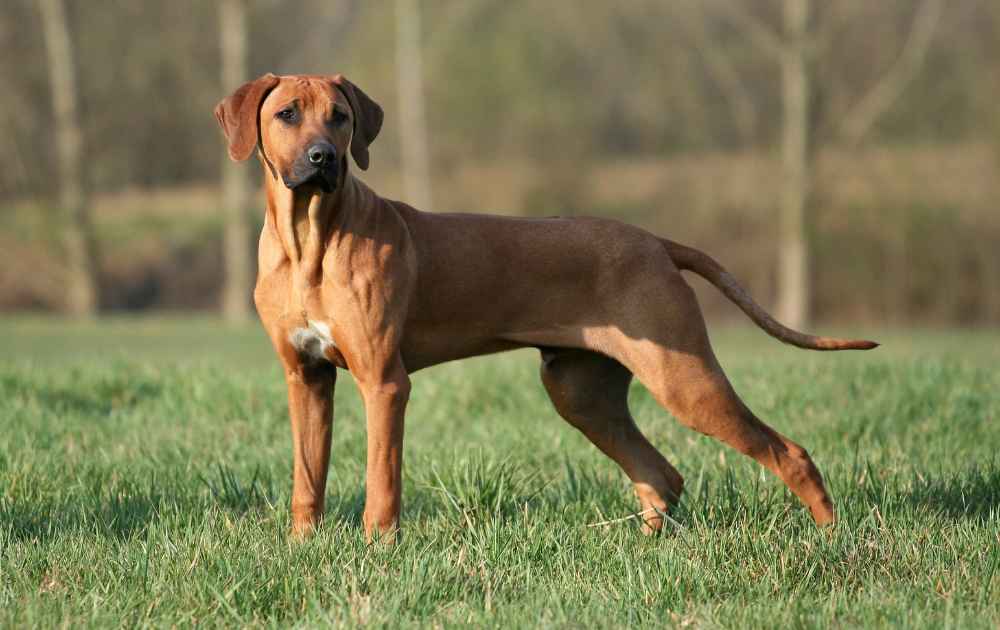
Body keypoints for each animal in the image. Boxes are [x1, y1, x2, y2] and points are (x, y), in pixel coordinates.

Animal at [213, 73, 876, 540]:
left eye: (341, 117)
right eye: (287, 114)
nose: (323, 157)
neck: (309, 239)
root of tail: (657, 242)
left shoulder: (384, 381)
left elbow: (382, 479)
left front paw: (380, 549)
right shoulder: (306, 376)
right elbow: (307, 477)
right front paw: (303, 546)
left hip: (682, 378)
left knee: (788, 453)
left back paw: (832, 540)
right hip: (580, 391)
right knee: (661, 474)